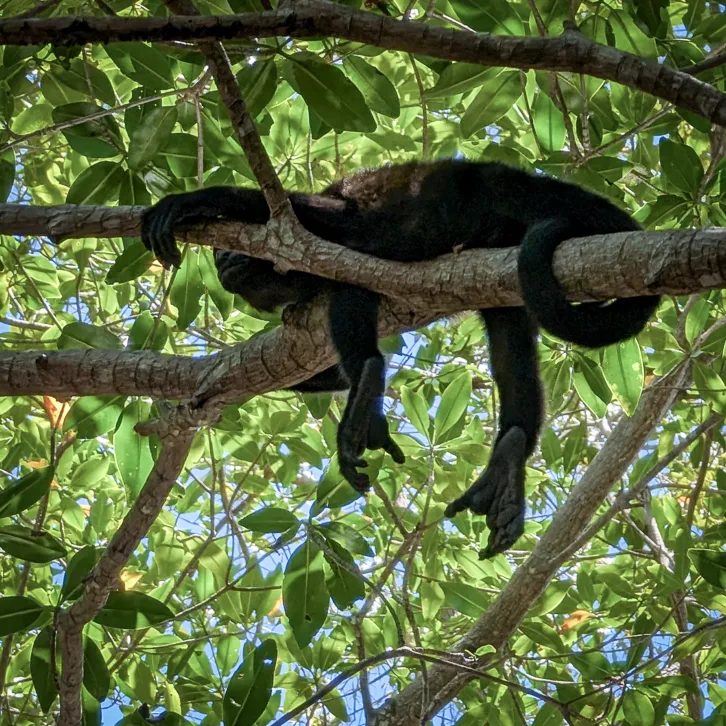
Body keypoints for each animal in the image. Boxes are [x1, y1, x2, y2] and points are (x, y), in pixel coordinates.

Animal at [141, 159, 659, 558]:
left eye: (228, 252)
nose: (225, 262)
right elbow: (319, 367)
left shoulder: (300, 227)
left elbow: (288, 208)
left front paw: (184, 203)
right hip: (501, 270)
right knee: (509, 341)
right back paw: (510, 452)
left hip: (471, 198)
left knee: (352, 270)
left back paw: (368, 383)